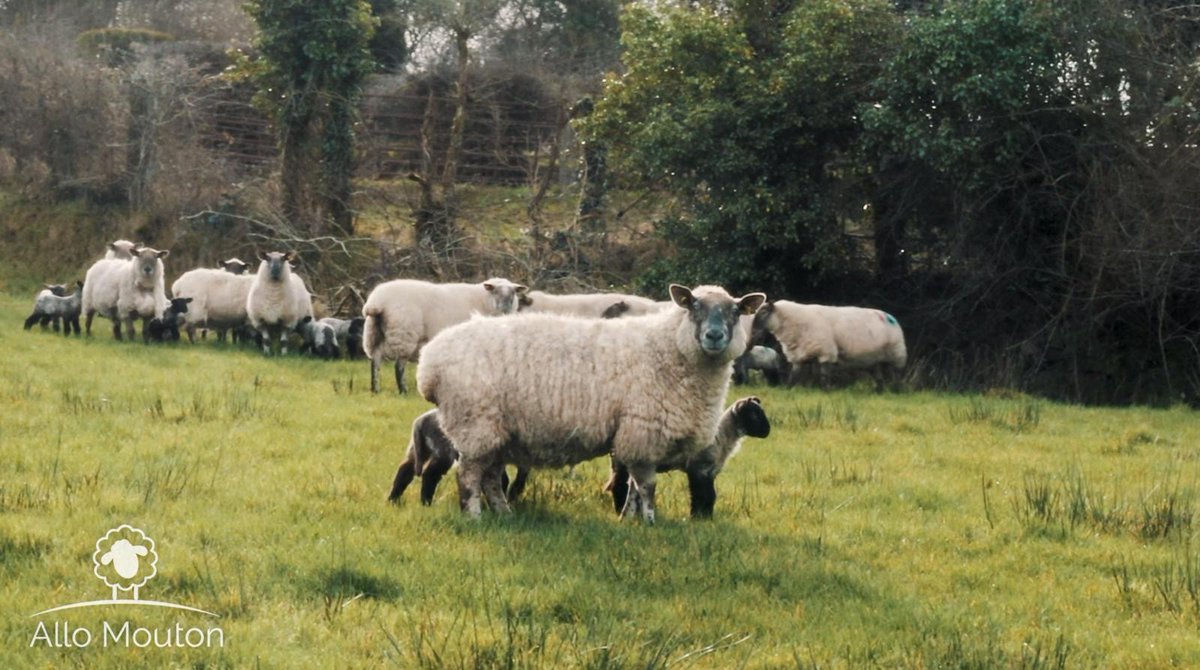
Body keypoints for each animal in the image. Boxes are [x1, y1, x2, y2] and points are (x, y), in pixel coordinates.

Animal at [362, 278, 528, 393]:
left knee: (375, 362)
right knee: (398, 366)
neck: (484, 300)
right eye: (495, 292)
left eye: (513, 293)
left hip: (373, 333)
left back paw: (375, 389)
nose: (505, 309)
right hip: (404, 334)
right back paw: (403, 391)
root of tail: (377, 302)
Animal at [387, 409, 529, 506]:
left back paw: (392, 500)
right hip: (444, 451)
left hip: (417, 449)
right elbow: (504, 481)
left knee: (405, 470)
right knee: (430, 474)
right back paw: (426, 503)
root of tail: (420, 422)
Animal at [605, 396, 770, 518]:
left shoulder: (710, 472)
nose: (768, 431)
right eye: (754, 415)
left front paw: (707, 517)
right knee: (619, 484)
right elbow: (703, 495)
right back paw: (620, 510)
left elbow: (711, 495)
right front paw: (698, 517)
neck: (722, 436)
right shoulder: (698, 469)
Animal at [751, 301, 907, 390]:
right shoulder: (799, 356)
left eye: (764, 311)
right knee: (879, 377)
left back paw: (896, 390)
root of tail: (891, 317)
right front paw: (787, 389)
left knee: (896, 374)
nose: (752, 329)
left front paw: (826, 391)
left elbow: (824, 375)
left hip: (896, 354)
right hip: (874, 360)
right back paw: (879, 392)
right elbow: (793, 376)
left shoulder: (826, 352)